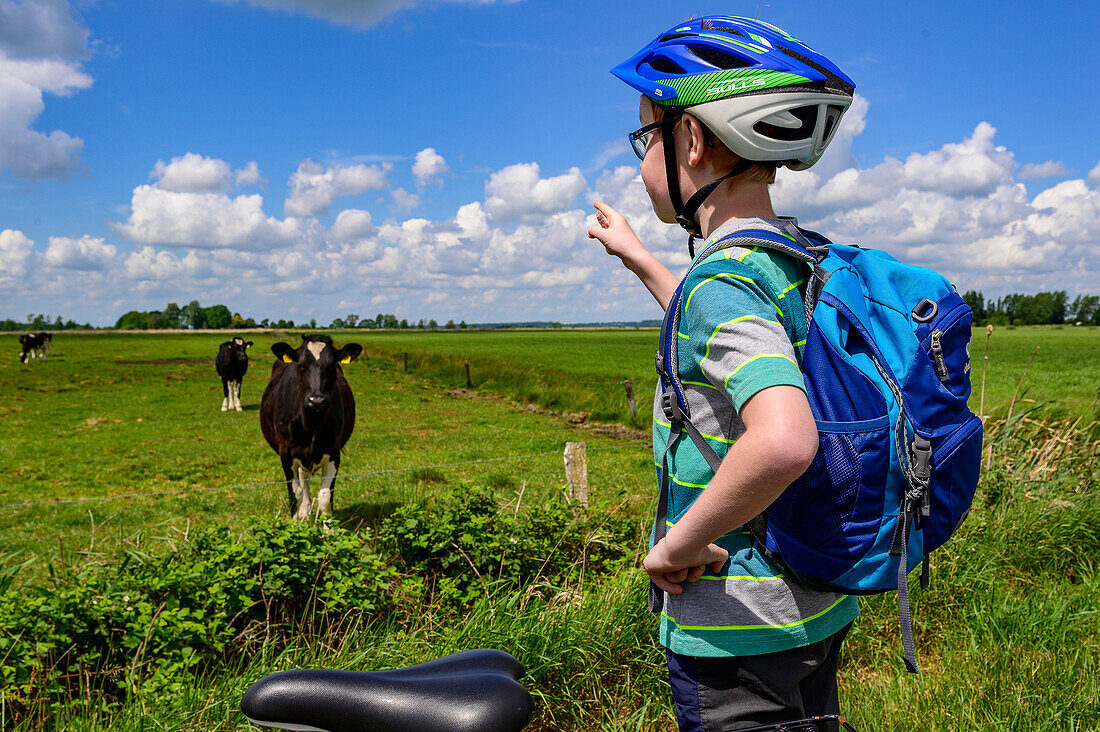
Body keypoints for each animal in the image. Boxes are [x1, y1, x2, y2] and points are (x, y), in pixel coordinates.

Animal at [259, 334, 363, 517]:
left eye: (331, 366)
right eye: (301, 366)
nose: (316, 400)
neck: (312, 423)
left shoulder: (333, 452)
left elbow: (325, 497)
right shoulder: (286, 454)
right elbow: (296, 495)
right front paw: (296, 523)